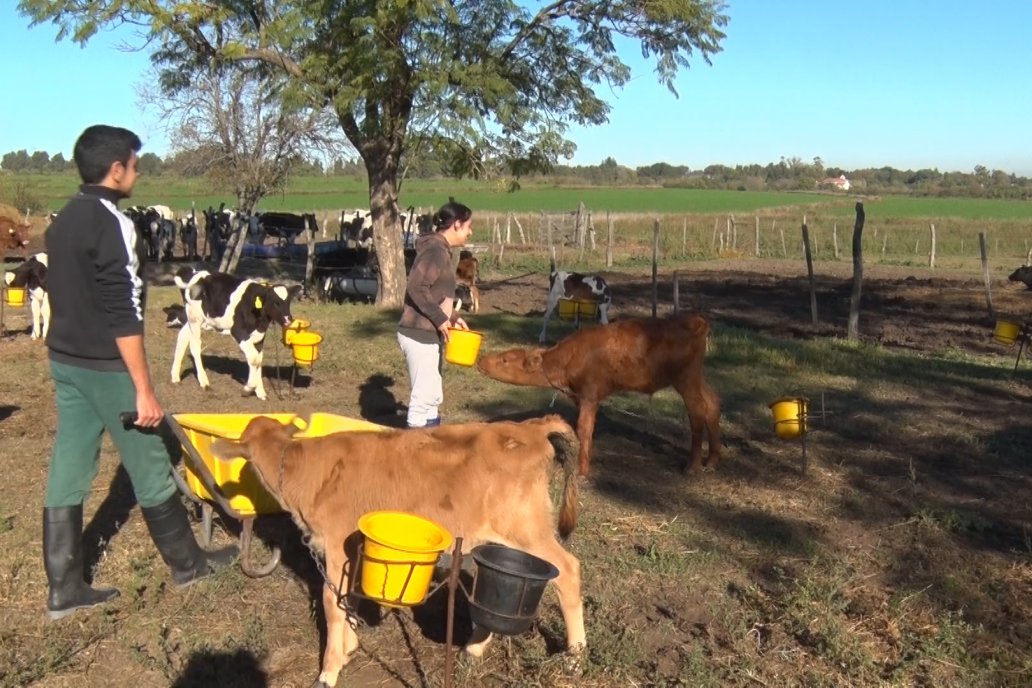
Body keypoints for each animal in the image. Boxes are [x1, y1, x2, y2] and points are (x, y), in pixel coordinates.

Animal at [171, 268, 301, 400]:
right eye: (275, 302)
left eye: (288, 302)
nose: (288, 320)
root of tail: (195, 272)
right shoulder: (239, 332)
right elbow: (253, 359)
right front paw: (248, 389)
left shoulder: (260, 336)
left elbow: (258, 360)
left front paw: (260, 392)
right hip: (195, 318)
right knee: (195, 346)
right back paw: (204, 382)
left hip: (196, 320)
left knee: (182, 337)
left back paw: (175, 377)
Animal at [213, 414, 586, 688]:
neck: (304, 471)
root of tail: (530, 427)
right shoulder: (353, 547)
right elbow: (349, 596)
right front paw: (349, 648)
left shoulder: (336, 543)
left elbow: (332, 602)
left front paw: (328, 672)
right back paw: (473, 649)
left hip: (526, 527)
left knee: (568, 569)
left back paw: (576, 658)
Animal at [474, 313, 718, 478]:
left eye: (505, 359)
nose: (480, 360)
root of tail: (694, 320)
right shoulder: (581, 396)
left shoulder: (590, 394)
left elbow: (584, 428)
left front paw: (582, 471)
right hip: (697, 378)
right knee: (712, 404)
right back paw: (712, 459)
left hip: (686, 379)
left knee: (697, 411)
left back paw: (693, 466)